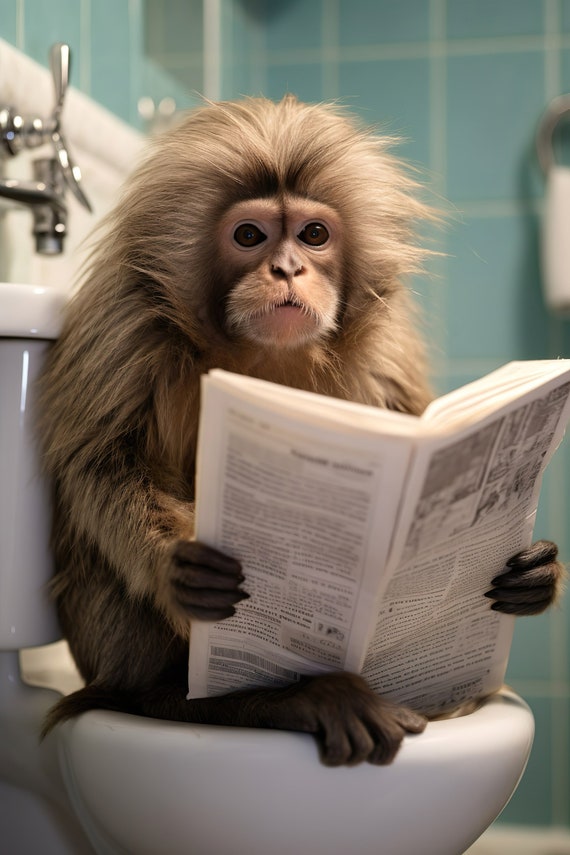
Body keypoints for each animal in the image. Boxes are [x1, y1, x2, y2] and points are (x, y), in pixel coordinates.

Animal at [37, 95, 565, 766]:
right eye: (249, 235)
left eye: (313, 235)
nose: (286, 268)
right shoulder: (125, 318)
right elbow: (98, 463)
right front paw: (176, 568)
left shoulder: (385, 344)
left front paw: (535, 575)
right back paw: (257, 700)